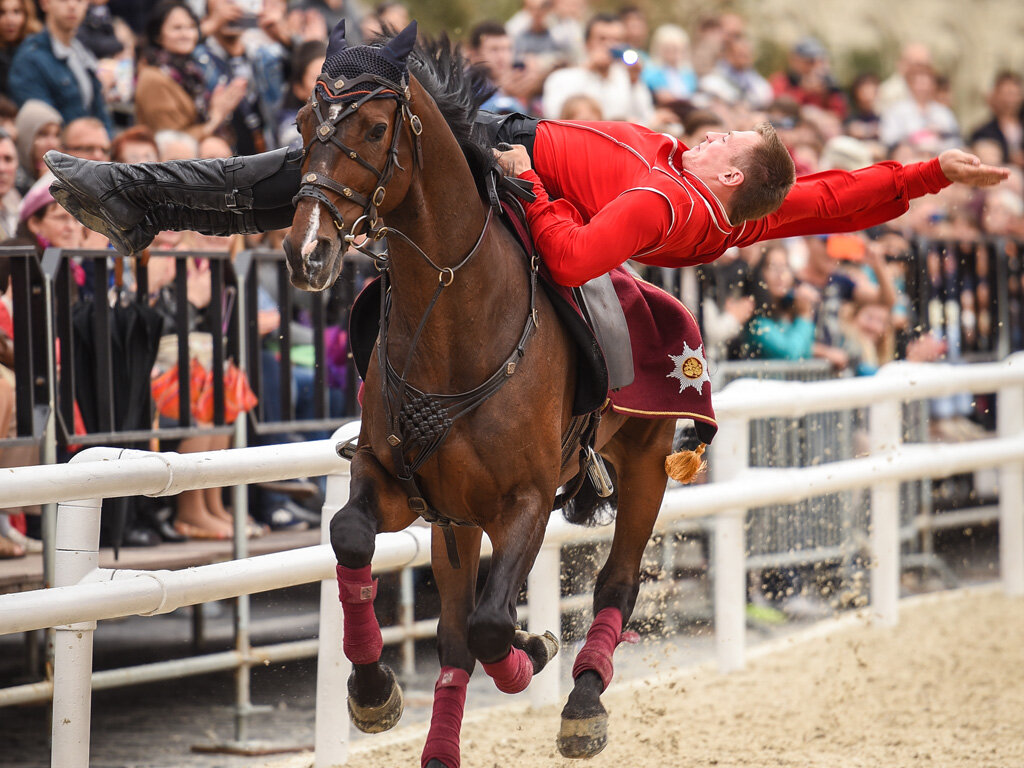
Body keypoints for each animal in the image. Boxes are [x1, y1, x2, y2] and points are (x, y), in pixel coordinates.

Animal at [280, 20, 696, 765]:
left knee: (614, 582)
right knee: (451, 636)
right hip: (457, 516)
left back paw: (583, 703)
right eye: (302, 123)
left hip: (646, 461)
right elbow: (352, 537)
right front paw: (372, 691)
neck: (453, 318)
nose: (309, 252)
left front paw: (533, 650)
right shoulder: (397, 479)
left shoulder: (524, 500)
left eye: (377, 126)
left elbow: (493, 625)